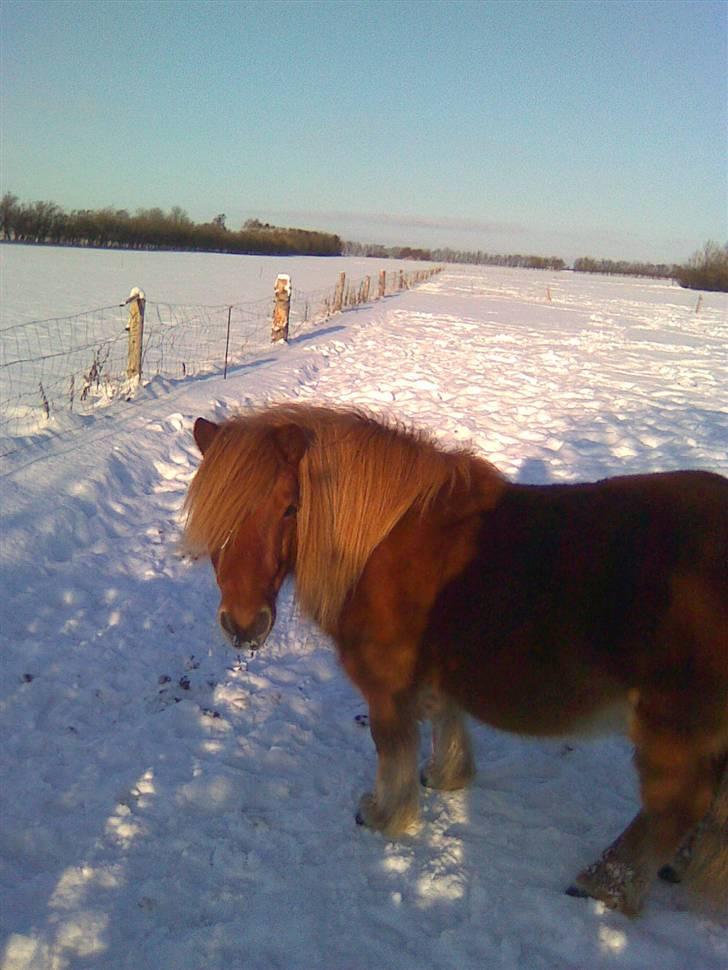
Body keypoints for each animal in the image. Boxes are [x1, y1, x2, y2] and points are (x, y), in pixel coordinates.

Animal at [183, 402, 728, 916]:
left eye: (291, 508)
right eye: (211, 516)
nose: (243, 625)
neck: (381, 543)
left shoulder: (386, 687)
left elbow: (392, 746)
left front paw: (384, 814)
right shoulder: (436, 676)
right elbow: (446, 718)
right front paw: (446, 776)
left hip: (672, 726)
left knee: (677, 804)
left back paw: (605, 884)